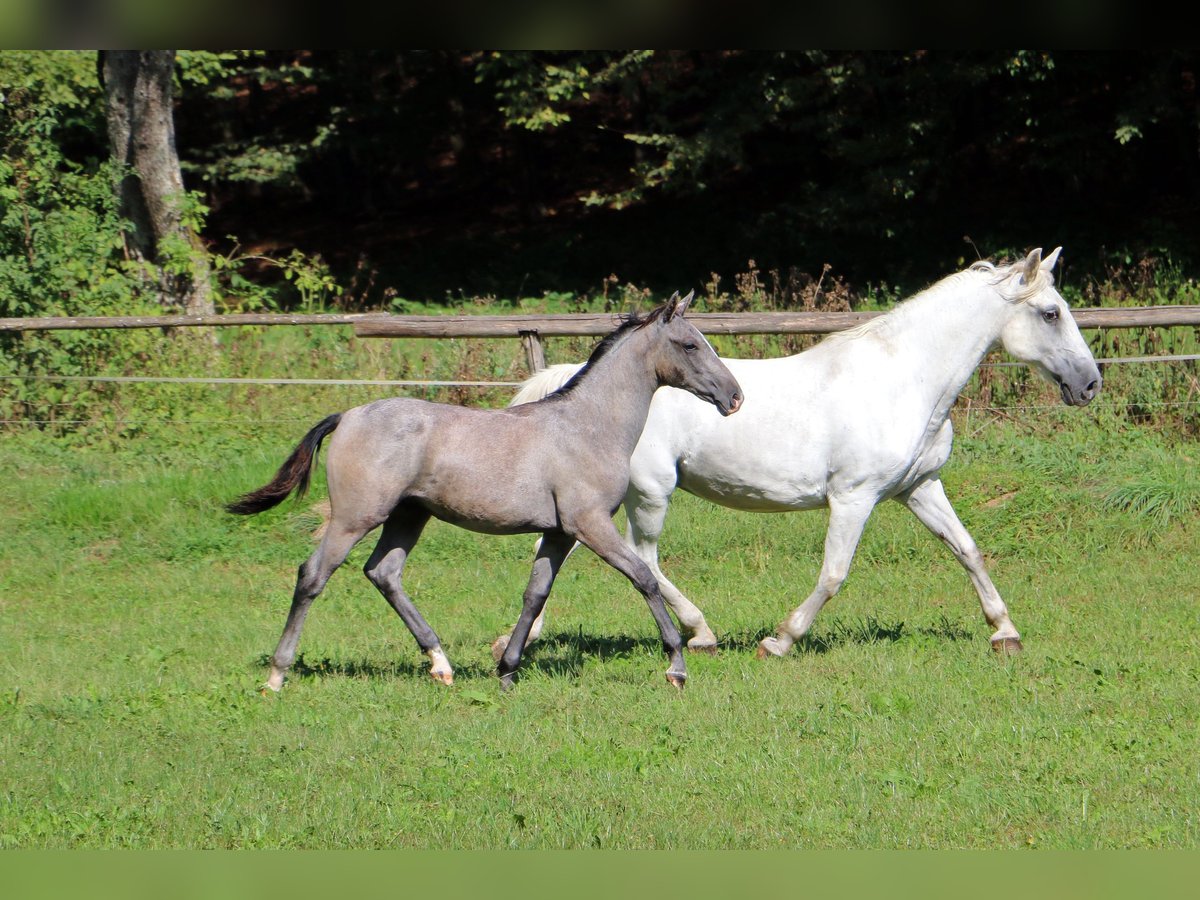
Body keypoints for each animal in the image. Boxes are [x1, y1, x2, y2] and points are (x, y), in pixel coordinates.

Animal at [225, 292, 739, 696]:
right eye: (690, 344)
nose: (734, 397)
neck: (586, 427)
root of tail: (347, 415)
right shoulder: (589, 523)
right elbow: (644, 578)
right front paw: (677, 666)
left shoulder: (559, 533)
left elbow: (535, 594)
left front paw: (507, 671)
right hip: (356, 516)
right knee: (313, 575)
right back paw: (277, 675)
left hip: (408, 515)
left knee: (383, 572)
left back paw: (440, 664)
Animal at [494, 248, 1099, 662]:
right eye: (1050, 313)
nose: (1090, 384)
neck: (904, 379)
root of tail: (570, 383)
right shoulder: (854, 498)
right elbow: (834, 574)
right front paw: (779, 641)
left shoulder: (918, 489)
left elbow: (968, 549)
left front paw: (1005, 631)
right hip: (648, 493)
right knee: (643, 559)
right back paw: (701, 633)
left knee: (564, 553)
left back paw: (519, 638)